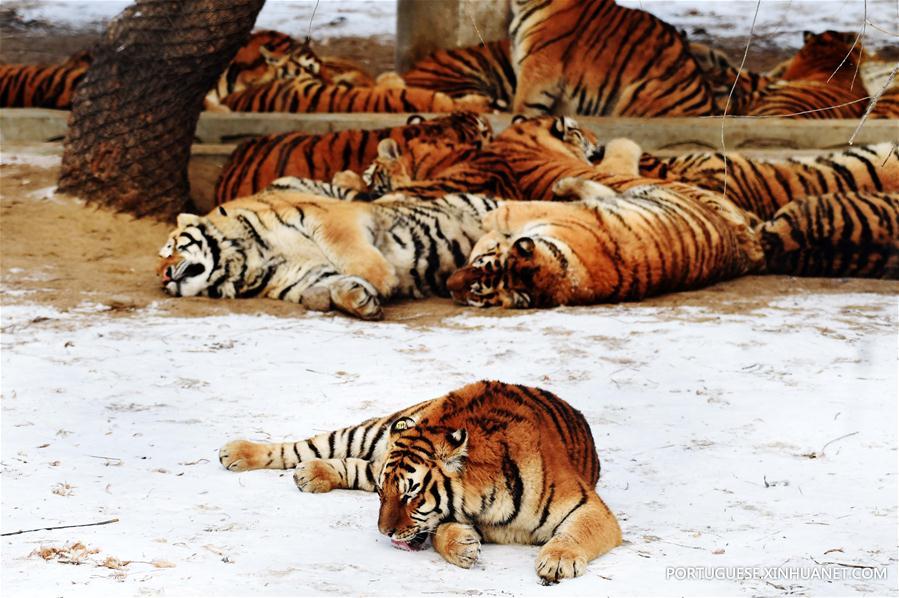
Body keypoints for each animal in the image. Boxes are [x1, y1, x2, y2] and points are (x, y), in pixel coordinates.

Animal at [157, 189, 498, 319]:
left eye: (173, 249)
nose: (164, 277)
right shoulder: (303, 275)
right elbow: (318, 292)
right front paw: (358, 300)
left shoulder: (333, 217)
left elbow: (347, 248)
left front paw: (383, 282)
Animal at [218, 380, 622, 584]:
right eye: (382, 494)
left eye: (412, 495)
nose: (384, 532)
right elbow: (441, 530)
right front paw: (463, 546)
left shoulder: (589, 506)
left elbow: (574, 533)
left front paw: (557, 561)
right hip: (376, 429)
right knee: (310, 445)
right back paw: (237, 451)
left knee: (353, 464)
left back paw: (311, 474)